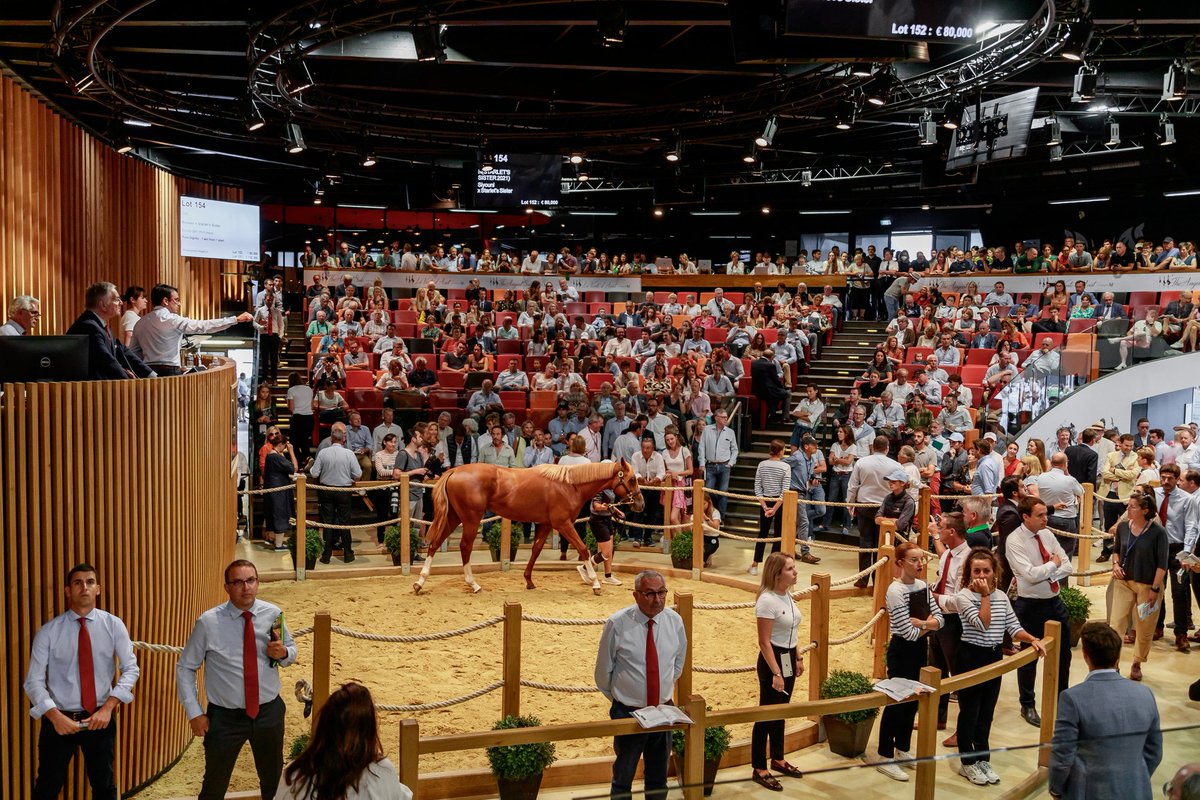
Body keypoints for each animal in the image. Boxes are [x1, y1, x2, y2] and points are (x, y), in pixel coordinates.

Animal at [414, 460, 644, 594]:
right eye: (632, 479)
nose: (641, 504)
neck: (569, 485)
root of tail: (454, 471)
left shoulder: (545, 524)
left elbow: (536, 550)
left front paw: (529, 581)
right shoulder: (563, 524)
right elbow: (583, 549)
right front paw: (595, 584)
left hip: (453, 518)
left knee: (435, 543)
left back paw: (420, 582)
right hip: (470, 519)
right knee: (465, 547)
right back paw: (473, 584)